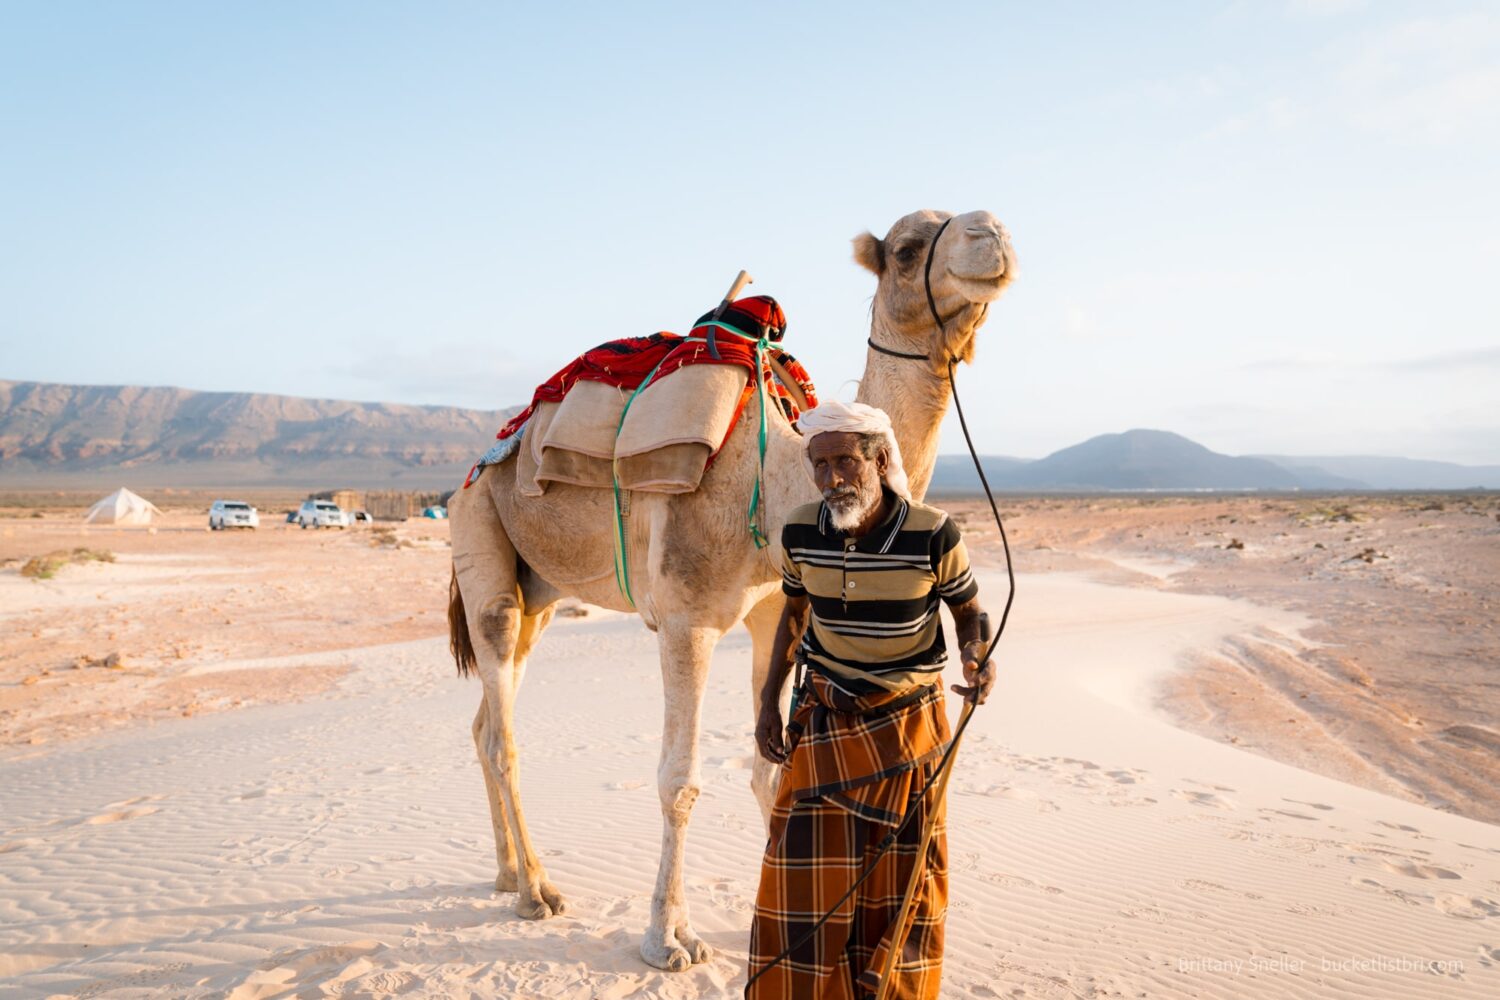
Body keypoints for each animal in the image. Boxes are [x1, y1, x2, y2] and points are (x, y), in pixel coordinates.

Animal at [441, 209, 1008, 971]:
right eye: (908, 248)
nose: (991, 233)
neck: (777, 479)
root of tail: (480, 461)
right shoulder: (688, 618)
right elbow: (679, 781)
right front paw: (667, 939)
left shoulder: (775, 615)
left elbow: (773, 767)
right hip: (481, 534)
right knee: (503, 725)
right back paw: (537, 891)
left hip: (543, 590)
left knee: (484, 723)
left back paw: (507, 874)